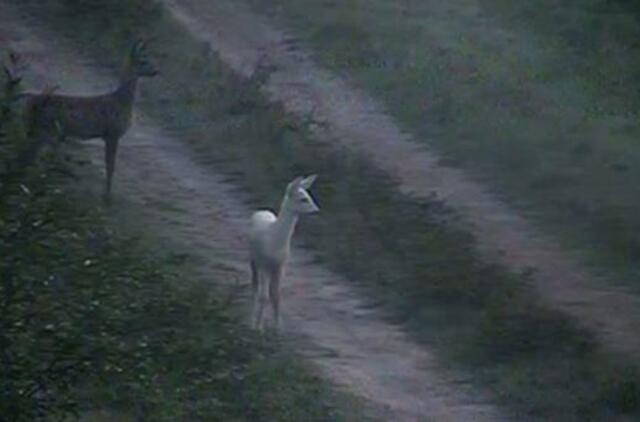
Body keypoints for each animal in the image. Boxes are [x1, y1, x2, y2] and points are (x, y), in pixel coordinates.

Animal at [21, 39, 158, 201]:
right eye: (143, 61)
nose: (156, 71)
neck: (122, 101)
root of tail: (30, 103)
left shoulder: (110, 135)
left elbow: (110, 165)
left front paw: (107, 193)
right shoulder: (112, 133)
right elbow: (110, 166)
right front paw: (107, 195)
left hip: (40, 129)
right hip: (46, 129)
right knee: (31, 156)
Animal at [250, 173, 320, 332]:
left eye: (308, 195)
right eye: (303, 199)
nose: (316, 210)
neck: (275, 239)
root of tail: (262, 211)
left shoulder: (281, 265)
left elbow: (277, 295)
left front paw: (278, 327)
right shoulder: (264, 264)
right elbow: (264, 296)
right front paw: (259, 327)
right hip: (253, 260)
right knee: (255, 286)